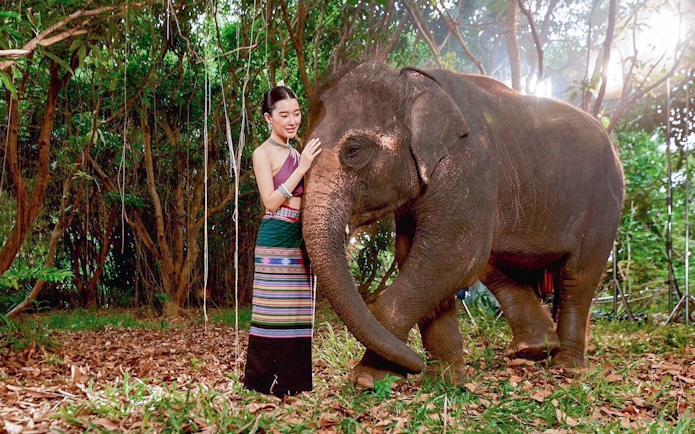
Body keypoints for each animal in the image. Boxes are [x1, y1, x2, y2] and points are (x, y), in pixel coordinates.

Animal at [302, 61, 624, 388]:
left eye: (353, 150)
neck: (412, 84)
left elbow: (452, 256)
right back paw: (533, 350)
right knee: (499, 268)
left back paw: (566, 365)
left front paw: (368, 378)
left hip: (604, 205)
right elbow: (418, 258)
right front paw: (443, 380)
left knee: (578, 275)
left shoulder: (468, 166)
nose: (415, 364)